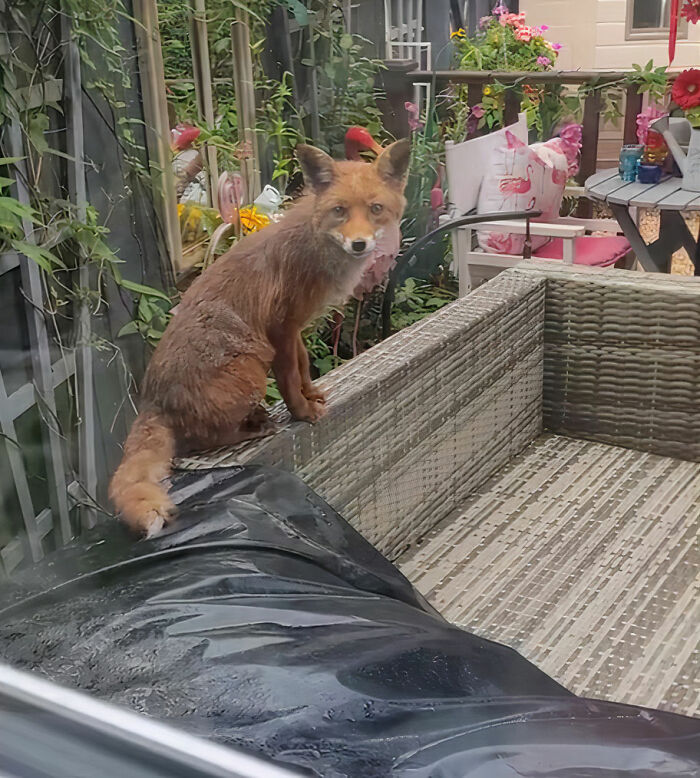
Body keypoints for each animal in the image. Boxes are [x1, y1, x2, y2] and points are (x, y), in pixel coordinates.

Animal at [109, 139, 411, 536]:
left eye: (376, 209)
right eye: (339, 211)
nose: (359, 245)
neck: (314, 247)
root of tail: (150, 401)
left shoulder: (296, 326)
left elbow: (303, 366)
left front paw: (312, 393)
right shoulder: (279, 327)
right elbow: (289, 379)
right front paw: (303, 412)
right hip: (252, 368)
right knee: (195, 443)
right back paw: (253, 429)